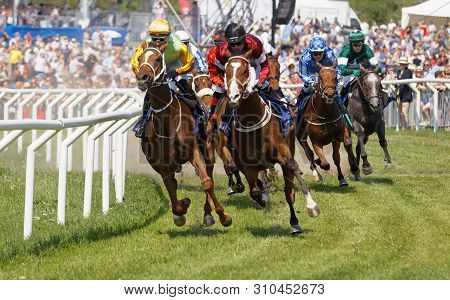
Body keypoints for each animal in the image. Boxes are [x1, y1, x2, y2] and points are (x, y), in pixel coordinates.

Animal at [134, 40, 232, 227]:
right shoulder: (162, 164)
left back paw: (208, 214)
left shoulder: (194, 151)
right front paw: (182, 209)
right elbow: (171, 190)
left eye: (158, 59)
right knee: (173, 183)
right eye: (140, 58)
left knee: (209, 174)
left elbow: (207, 183)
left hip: (208, 149)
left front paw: (224, 216)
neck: (167, 121)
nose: (143, 78)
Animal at [225, 50, 320, 234]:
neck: (252, 122)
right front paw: (261, 198)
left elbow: (291, 170)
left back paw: (295, 222)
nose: (233, 97)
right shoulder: (247, 165)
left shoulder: (283, 153)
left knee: (289, 187)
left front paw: (311, 206)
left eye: (245, 70)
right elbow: (255, 191)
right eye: (226, 71)